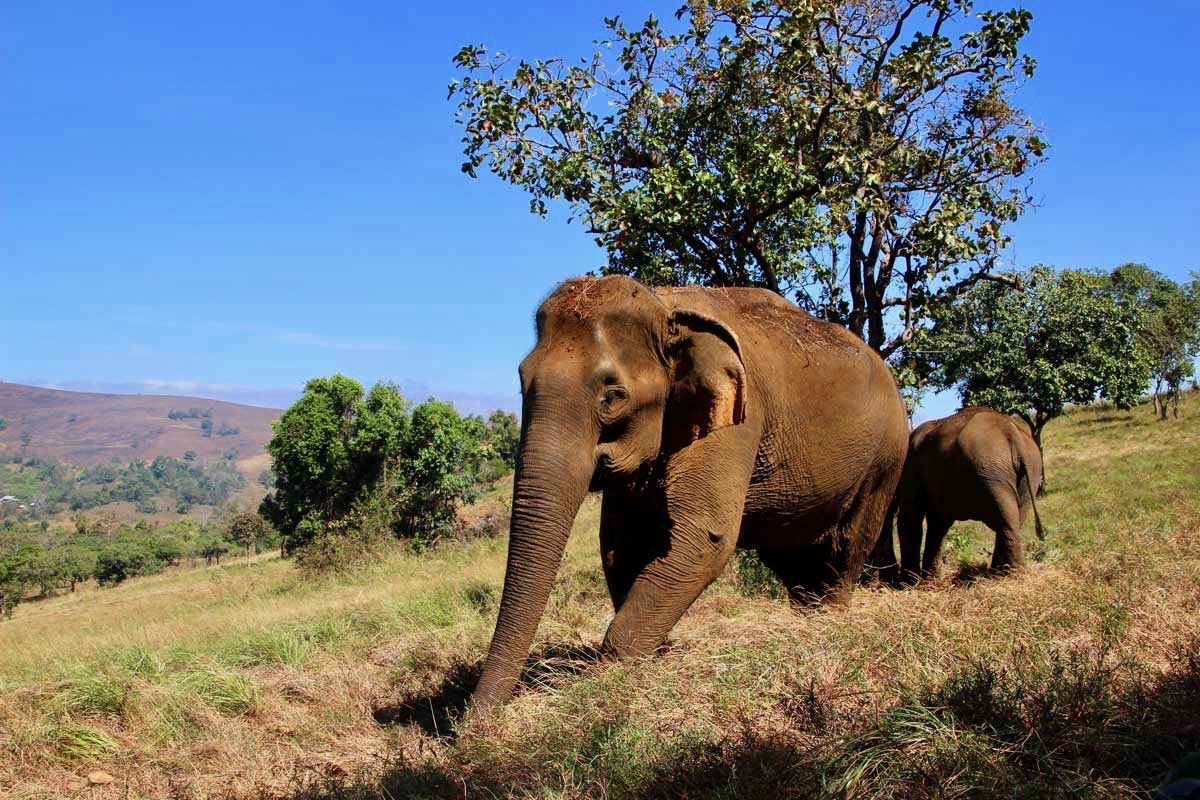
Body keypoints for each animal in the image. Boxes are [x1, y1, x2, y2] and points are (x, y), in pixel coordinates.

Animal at [468, 277, 907, 714]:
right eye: (522, 381)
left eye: (613, 396)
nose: (473, 724)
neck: (665, 307)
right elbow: (619, 545)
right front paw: (654, 657)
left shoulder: (739, 416)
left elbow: (703, 537)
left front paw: (610, 677)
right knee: (788, 553)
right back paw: (805, 617)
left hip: (886, 457)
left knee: (849, 541)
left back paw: (828, 621)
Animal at [873, 407, 1051, 582]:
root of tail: (1012, 433)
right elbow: (939, 523)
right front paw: (930, 581)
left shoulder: (911, 470)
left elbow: (911, 517)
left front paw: (908, 583)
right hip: (1027, 471)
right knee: (1014, 518)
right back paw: (1001, 574)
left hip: (991, 470)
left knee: (1006, 519)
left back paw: (1011, 575)